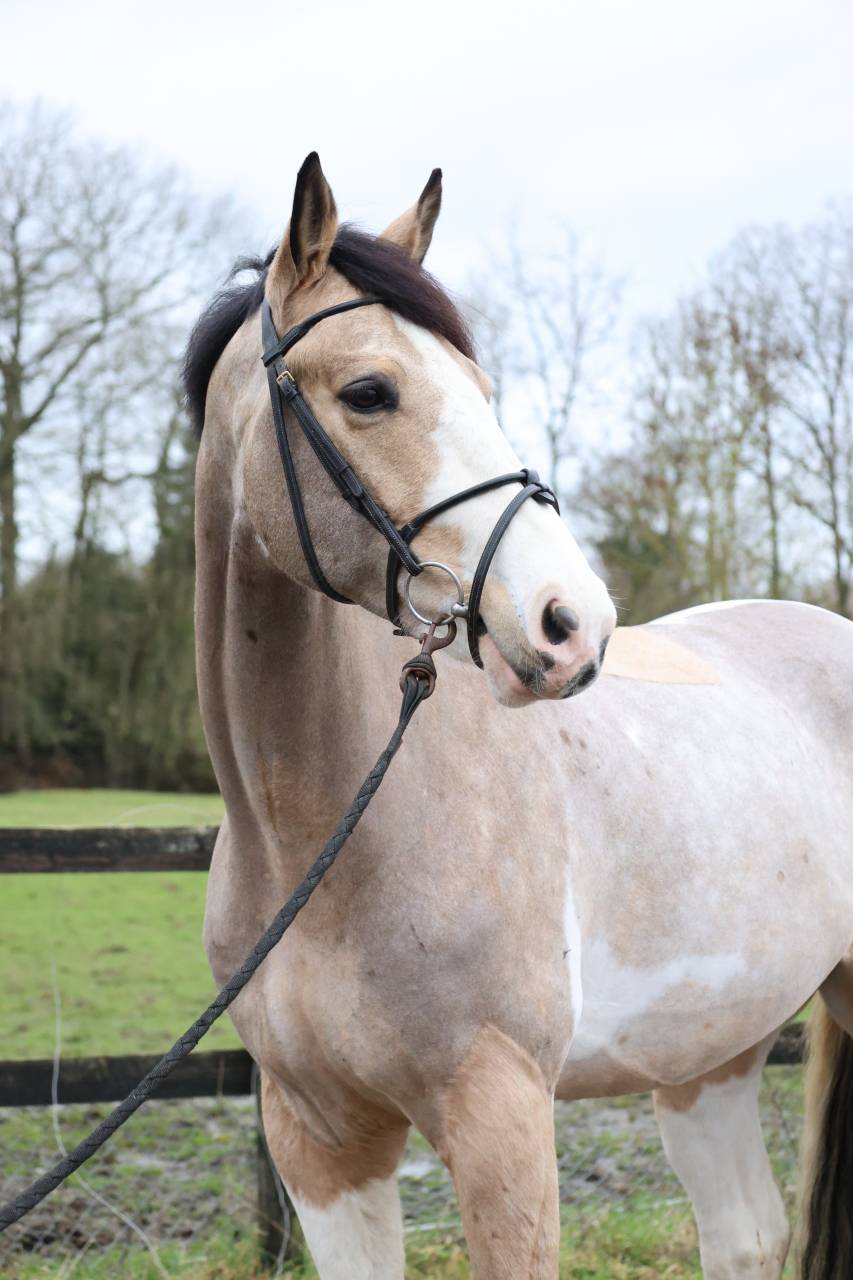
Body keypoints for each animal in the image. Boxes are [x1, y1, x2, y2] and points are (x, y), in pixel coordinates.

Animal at [186, 153, 853, 1279]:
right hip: (711, 1053)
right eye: (369, 391)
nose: (571, 623)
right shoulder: (318, 1138)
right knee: (745, 1234)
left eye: (482, 390)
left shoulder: (499, 1115)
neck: (320, 836)